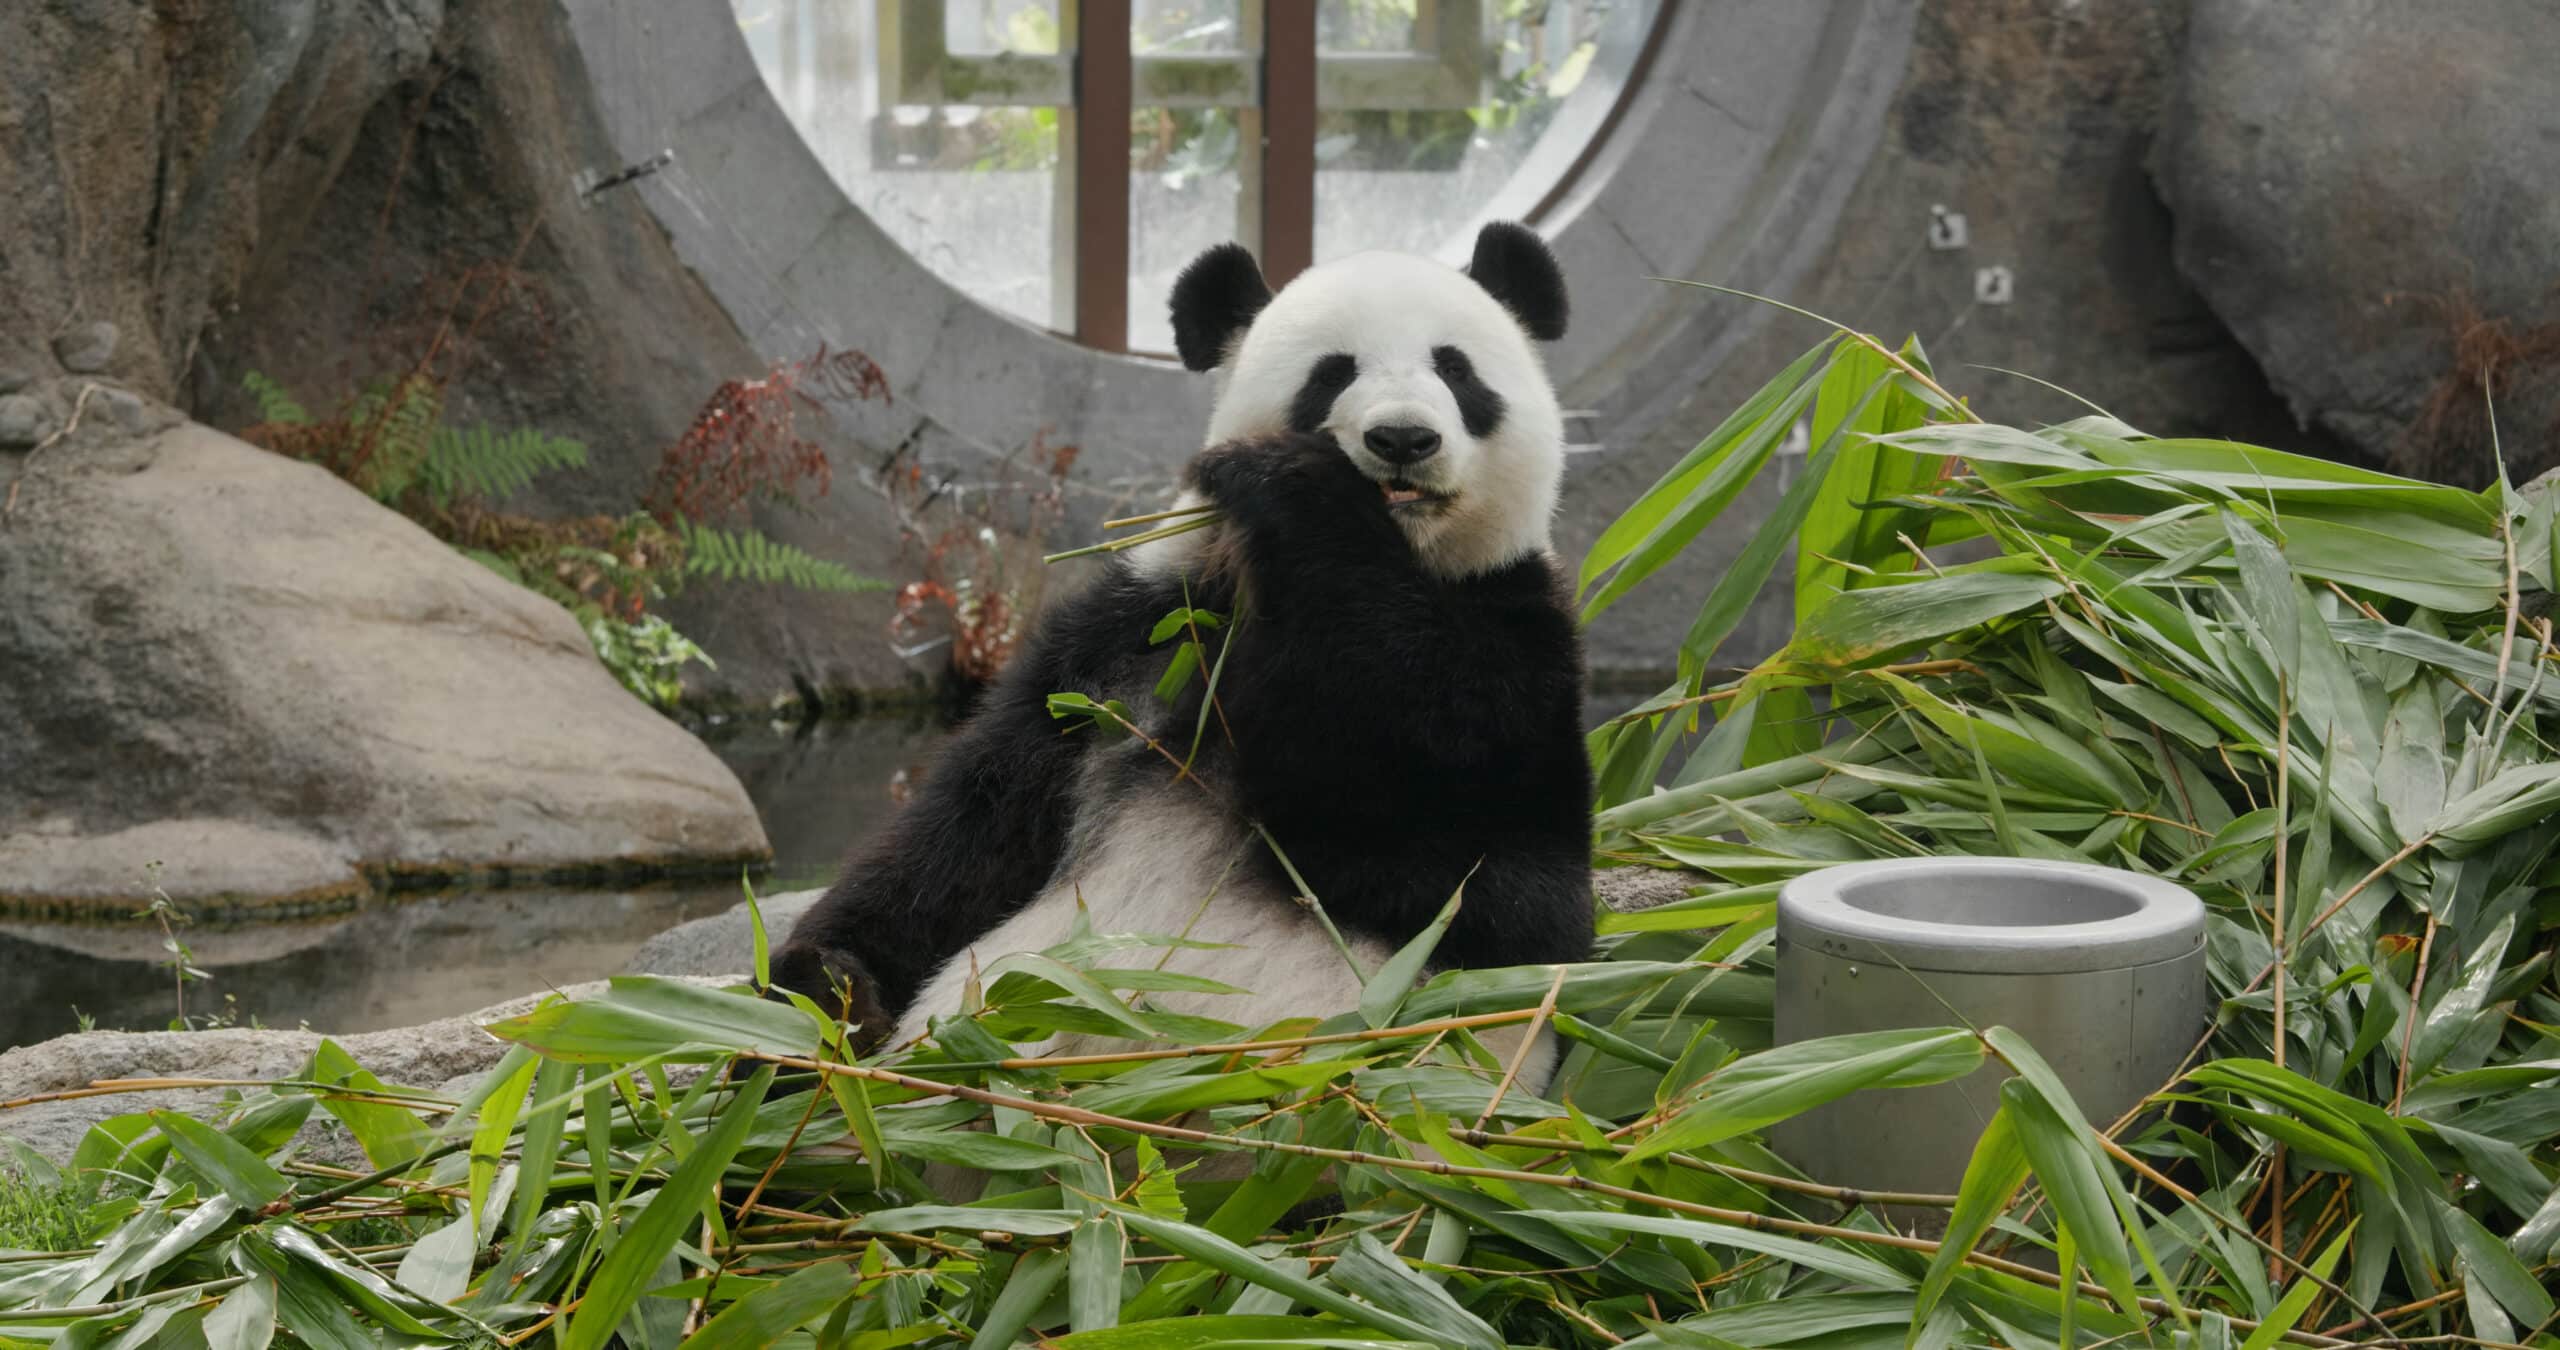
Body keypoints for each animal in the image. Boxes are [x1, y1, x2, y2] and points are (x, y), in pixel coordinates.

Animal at [768, 221, 1587, 1065]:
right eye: (1332, 373)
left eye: (1456, 370)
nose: (1401, 437)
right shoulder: (1124, 643)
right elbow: (970, 828)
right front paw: (832, 979)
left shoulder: (1518, 641)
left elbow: (1465, 854)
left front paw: (1294, 487)